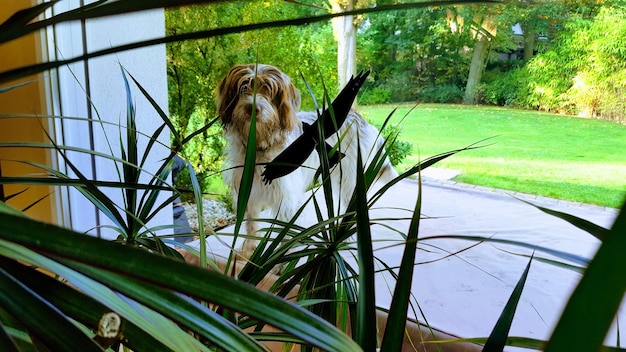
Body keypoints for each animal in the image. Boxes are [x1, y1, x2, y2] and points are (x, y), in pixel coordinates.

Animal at [214, 64, 398, 258]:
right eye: (243, 87)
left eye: (269, 90)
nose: (252, 108)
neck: (258, 147)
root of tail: (361, 119)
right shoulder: (248, 193)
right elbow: (250, 224)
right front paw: (249, 251)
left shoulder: (285, 197)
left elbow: (283, 229)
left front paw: (279, 257)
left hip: (350, 179)